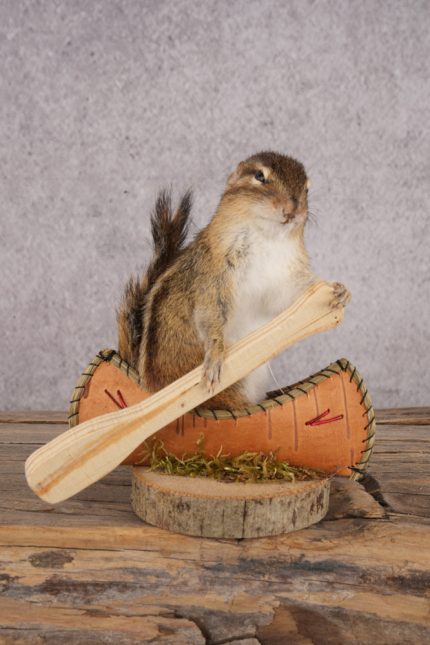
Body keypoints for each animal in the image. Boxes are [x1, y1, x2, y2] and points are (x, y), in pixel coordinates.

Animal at [117, 151, 350, 410]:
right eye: (260, 176)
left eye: (307, 189)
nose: (293, 210)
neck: (266, 238)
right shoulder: (213, 277)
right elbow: (209, 313)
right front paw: (215, 355)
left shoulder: (284, 279)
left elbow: (288, 298)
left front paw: (338, 290)